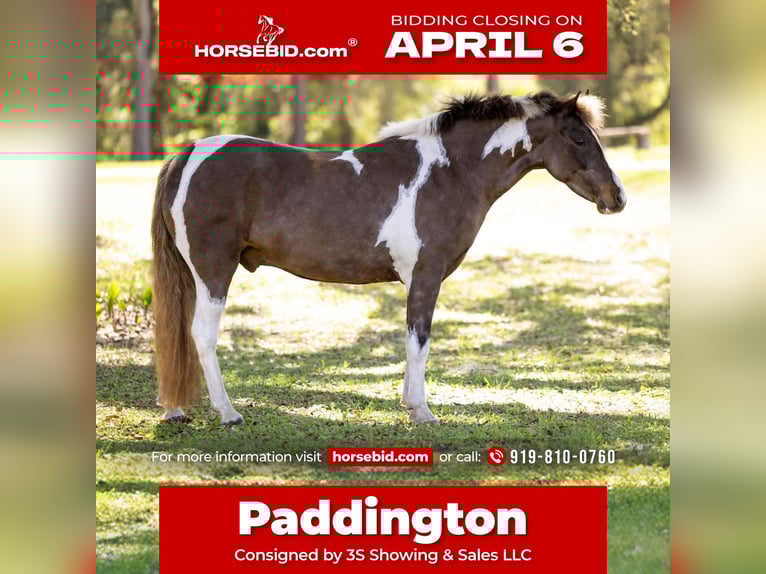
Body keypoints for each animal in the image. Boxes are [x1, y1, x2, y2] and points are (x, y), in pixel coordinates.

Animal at [151, 91, 626, 426]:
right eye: (578, 138)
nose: (617, 197)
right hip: (214, 272)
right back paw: (228, 413)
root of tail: (188, 154)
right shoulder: (425, 277)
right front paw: (421, 410)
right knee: (202, 336)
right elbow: (419, 341)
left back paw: (177, 409)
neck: (449, 171)